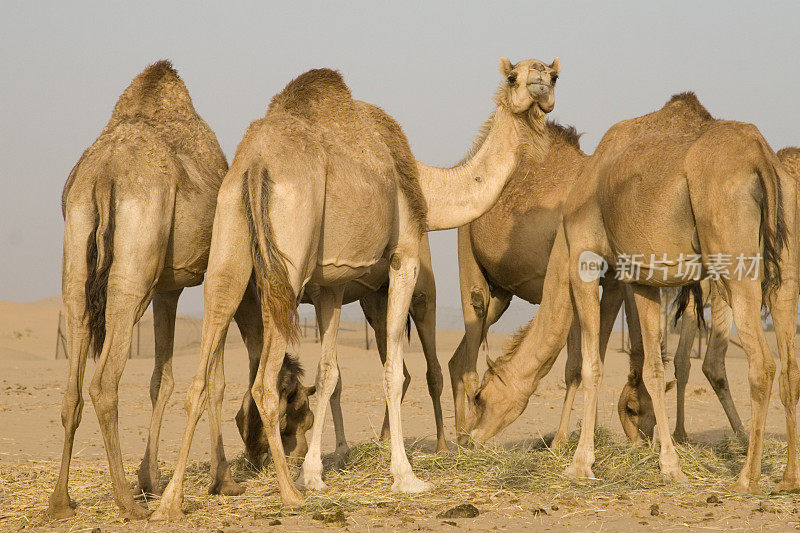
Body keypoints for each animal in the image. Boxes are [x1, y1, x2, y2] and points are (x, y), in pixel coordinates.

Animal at [50, 59, 316, 520]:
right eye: (296, 411)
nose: (296, 452)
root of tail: (104, 175)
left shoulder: (166, 289)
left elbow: (163, 379)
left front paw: (151, 480)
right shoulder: (220, 275)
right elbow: (217, 379)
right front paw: (222, 481)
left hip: (78, 254)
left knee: (73, 380)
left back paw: (61, 502)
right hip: (133, 269)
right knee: (104, 382)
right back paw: (127, 503)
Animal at [153, 57, 560, 516]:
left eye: (552, 74)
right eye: (514, 77)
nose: (540, 82)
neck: (424, 185)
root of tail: (255, 164)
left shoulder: (330, 287)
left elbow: (329, 372)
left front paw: (315, 474)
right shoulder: (404, 257)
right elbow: (392, 369)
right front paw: (405, 478)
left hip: (228, 242)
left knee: (202, 371)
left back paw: (170, 501)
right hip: (290, 260)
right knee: (265, 383)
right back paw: (288, 493)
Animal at [466, 92, 796, 494]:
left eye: (481, 398)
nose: (469, 438)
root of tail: (760, 156)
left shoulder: (586, 260)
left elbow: (590, 364)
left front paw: (579, 464)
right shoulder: (641, 280)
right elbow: (653, 369)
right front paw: (669, 466)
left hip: (732, 252)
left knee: (762, 363)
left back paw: (746, 478)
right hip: (782, 263)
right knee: (789, 363)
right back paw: (789, 477)